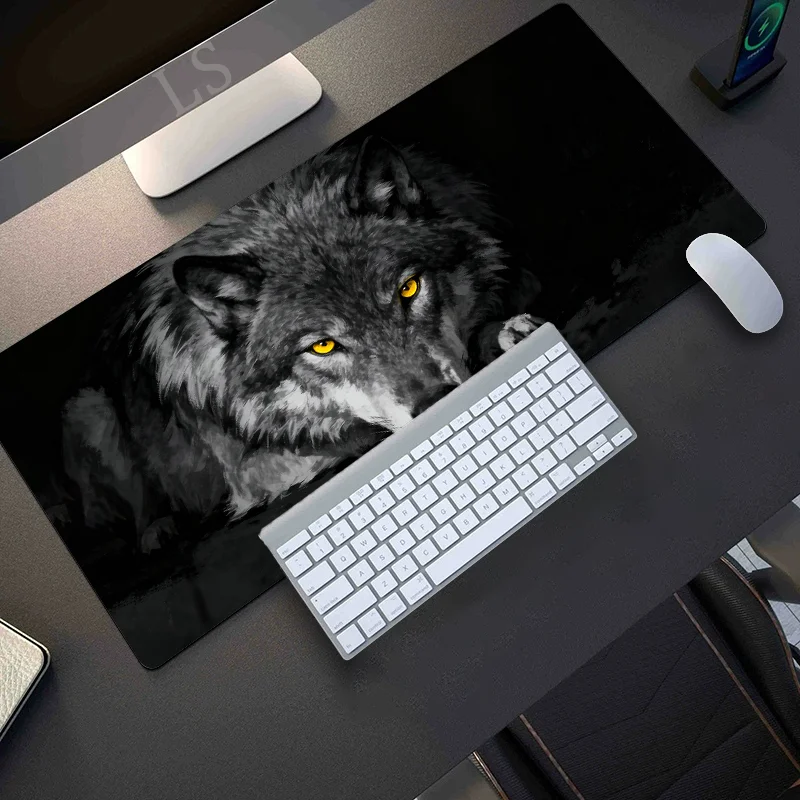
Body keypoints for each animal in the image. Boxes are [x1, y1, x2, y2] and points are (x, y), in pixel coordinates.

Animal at [57, 136, 542, 552]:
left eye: (409, 289)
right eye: (323, 347)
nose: (438, 402)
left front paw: (505, 333)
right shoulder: (251, 471)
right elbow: (354, 436)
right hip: (89, 409)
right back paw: (160, 529)